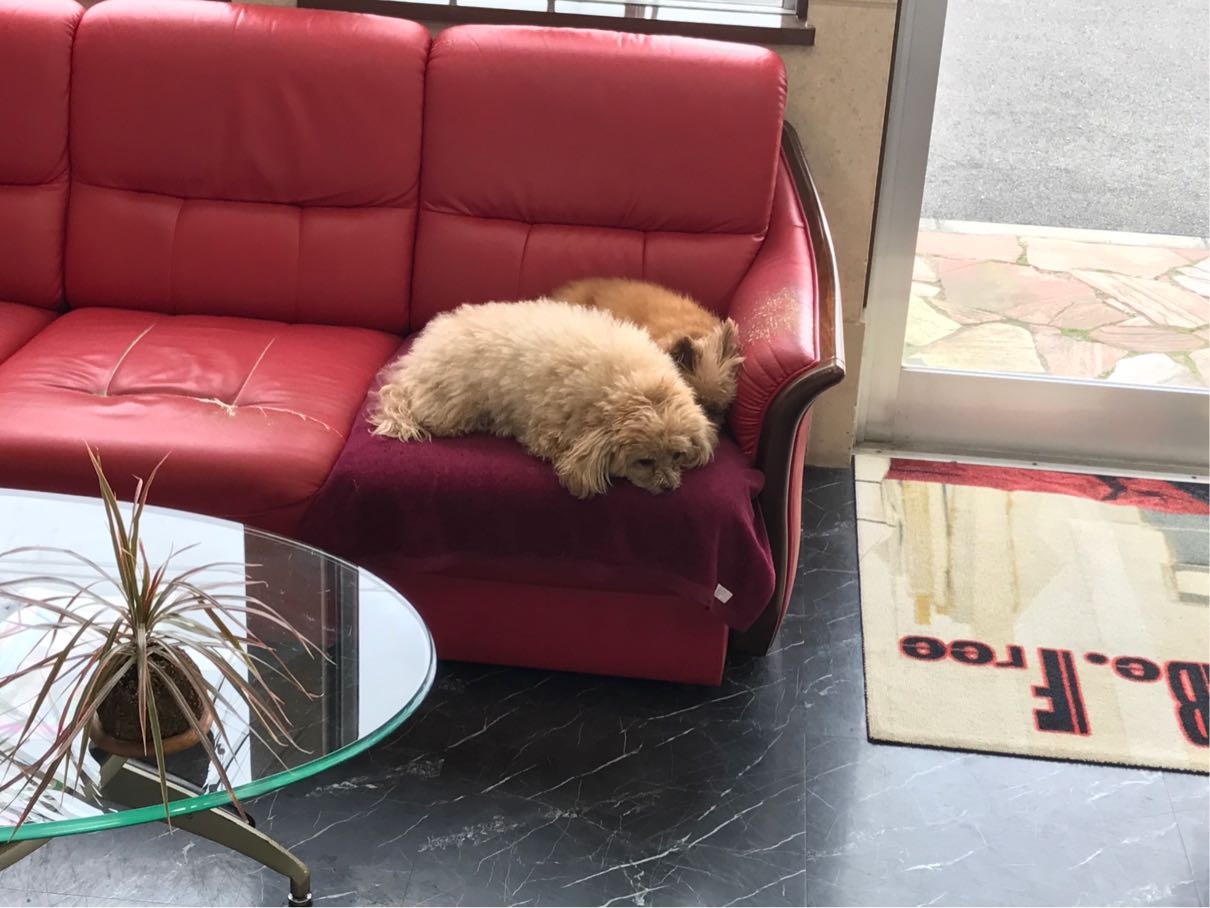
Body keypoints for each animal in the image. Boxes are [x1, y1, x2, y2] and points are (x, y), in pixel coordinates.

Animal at [370, 300, 717, 498]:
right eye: (644, 461)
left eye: (677, 455)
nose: (668, 487)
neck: (629, 382)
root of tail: (412, 366)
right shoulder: (548, 430)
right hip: (451, 405)